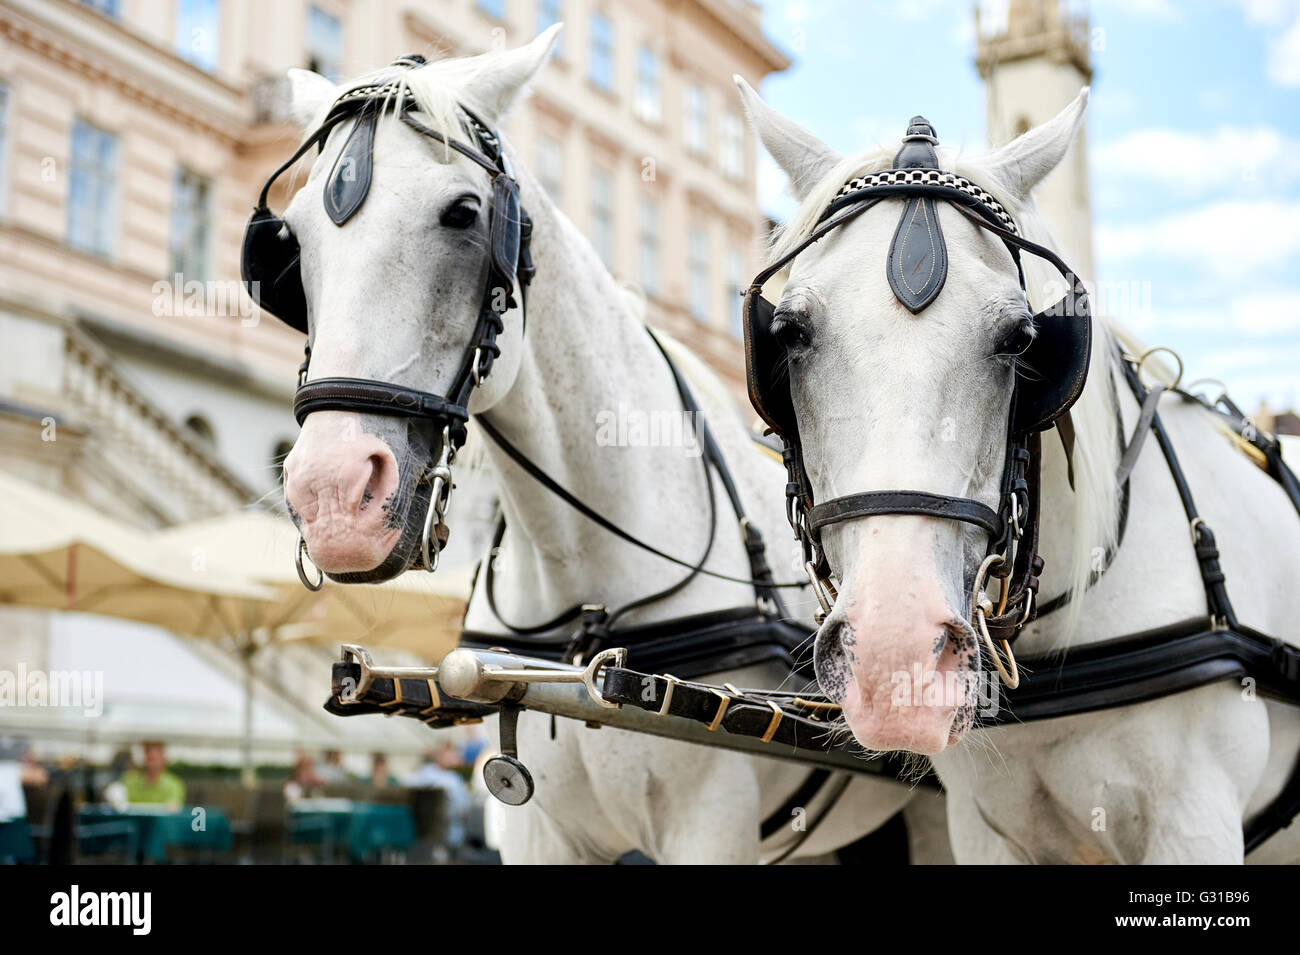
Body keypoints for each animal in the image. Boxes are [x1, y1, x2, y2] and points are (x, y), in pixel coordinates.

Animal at [269, 27, 937, 864]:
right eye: (290, 240)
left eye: (463, 213)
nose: (330, 495)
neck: (586, 602)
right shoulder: (535, 828)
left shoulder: (708, 827)